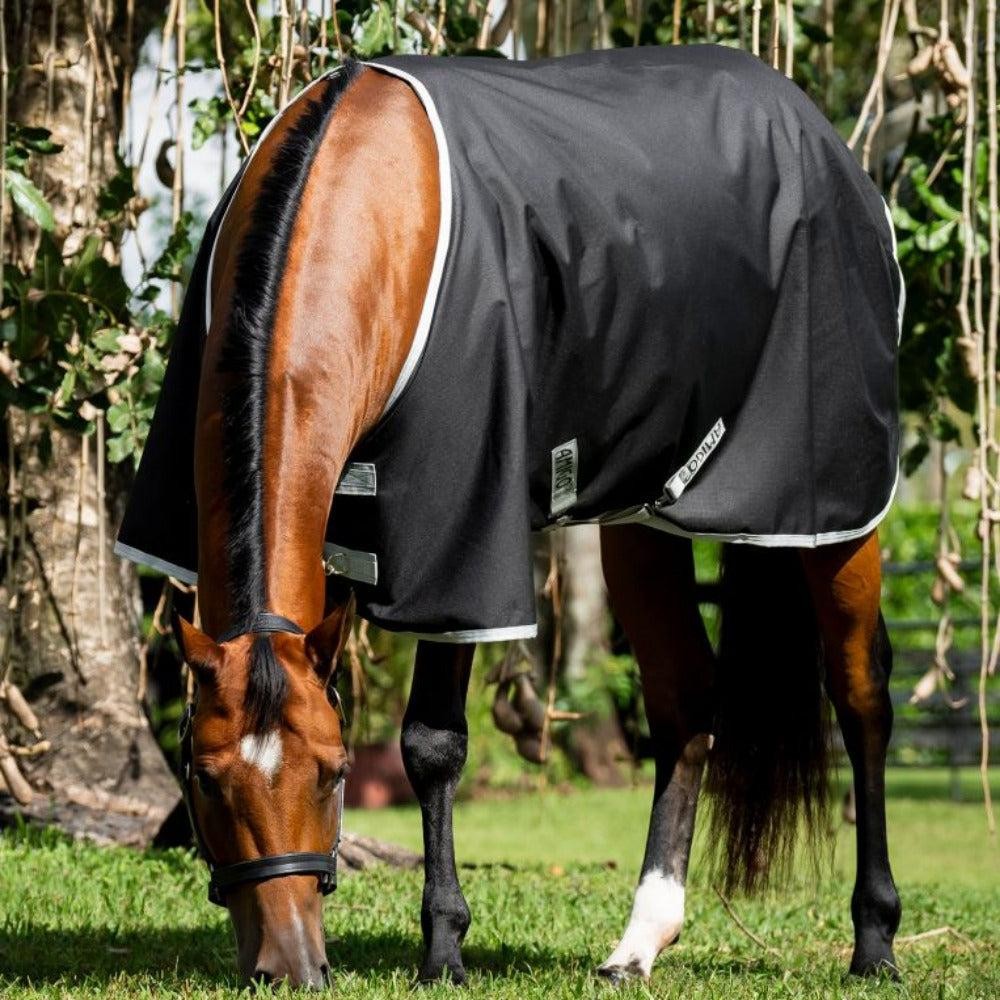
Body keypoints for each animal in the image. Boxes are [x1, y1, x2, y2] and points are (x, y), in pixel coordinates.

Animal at [121, 45, 903, 987]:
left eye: (335, 773)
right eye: (203, 778)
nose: (291, 967)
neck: (371, 205)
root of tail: (816, 130)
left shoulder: (458, 535)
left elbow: (433, 742)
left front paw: (443, 949)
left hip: (834, 507)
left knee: (860, 695)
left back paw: (874, 940)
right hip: (641, 517)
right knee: (686, 701)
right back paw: (640, 942)